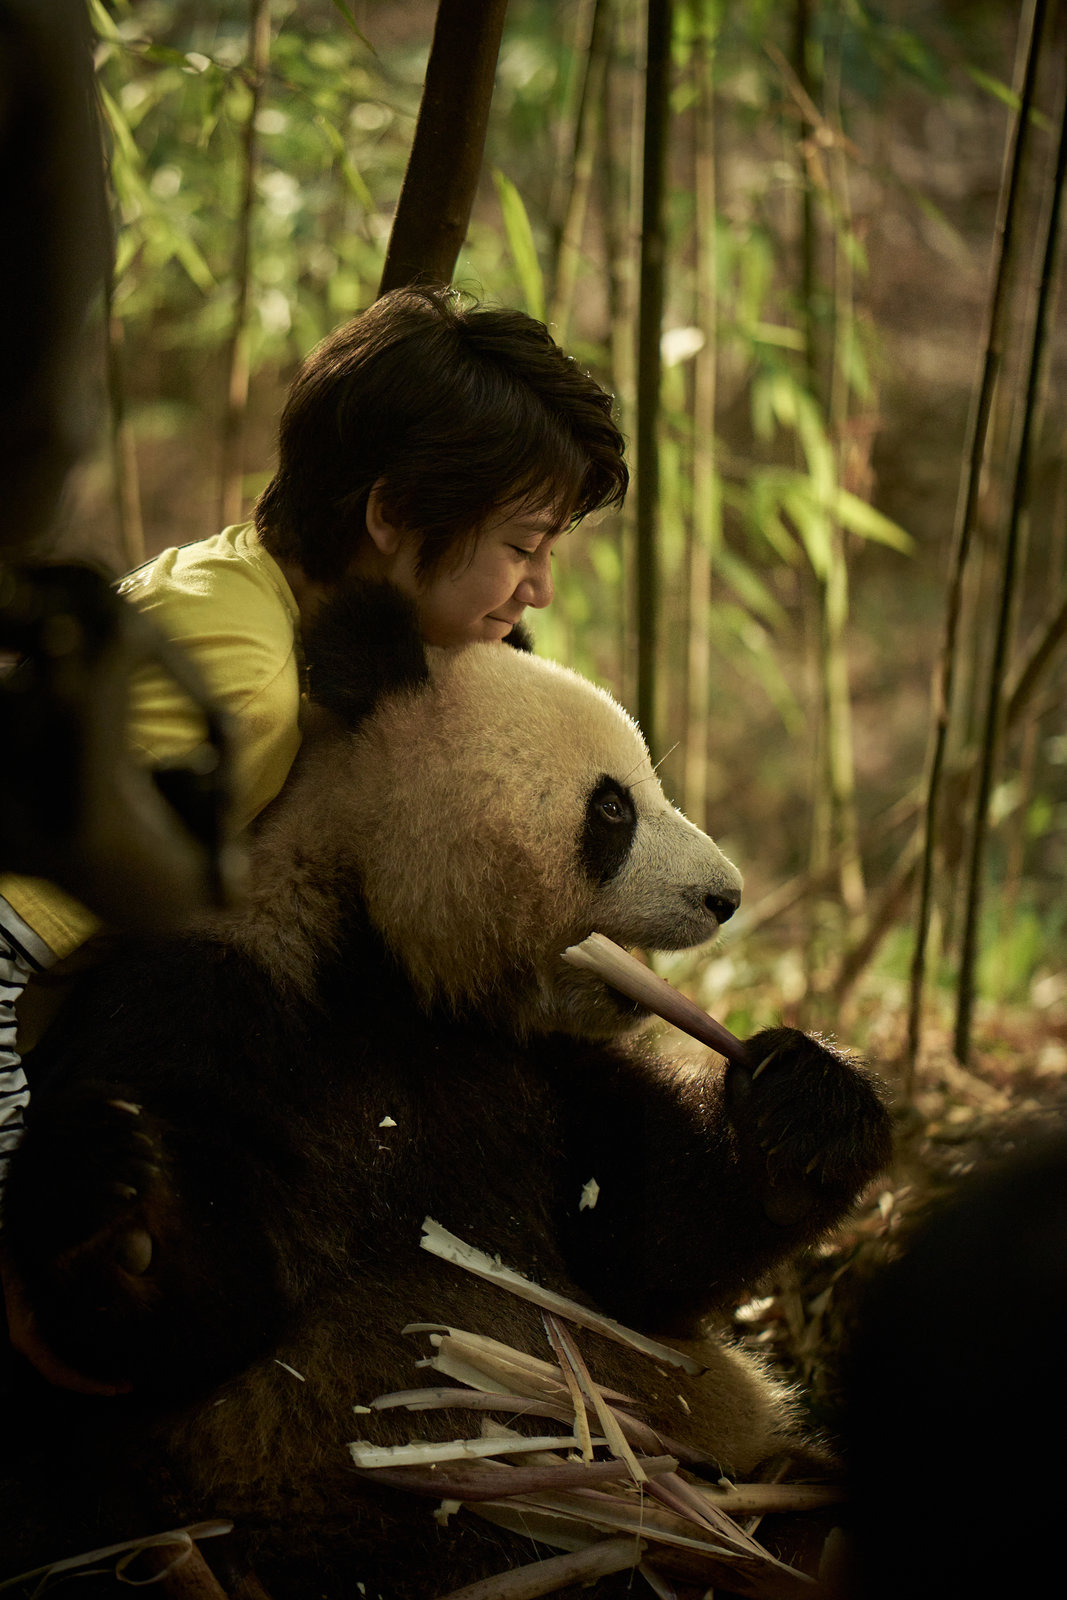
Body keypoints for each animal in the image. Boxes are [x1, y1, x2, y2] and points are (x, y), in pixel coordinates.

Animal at [0, 581, 892, 1599]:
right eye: (612, 809)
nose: (726, 897)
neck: (378, 954)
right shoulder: (215, 1005)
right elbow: (181, 1334)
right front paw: (114, 1210)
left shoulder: (538, 1064)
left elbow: (644, 1253)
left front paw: (809, 1108)